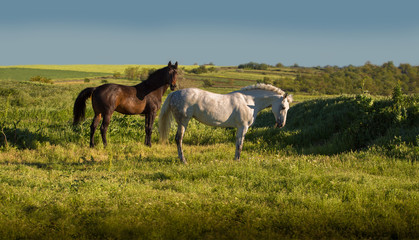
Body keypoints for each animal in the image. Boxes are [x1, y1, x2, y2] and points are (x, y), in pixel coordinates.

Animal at [159, 83, 294, 164]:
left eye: (287, 108)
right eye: (283, 107)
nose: (281, 124)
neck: (249, 101)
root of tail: (174, 93)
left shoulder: (240, 128)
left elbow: (238, 143)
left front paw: (235, 159)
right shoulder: (243, 127)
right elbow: (239, 144)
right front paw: (237, 160)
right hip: (183, 122)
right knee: (178, 139)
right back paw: (183, 160)